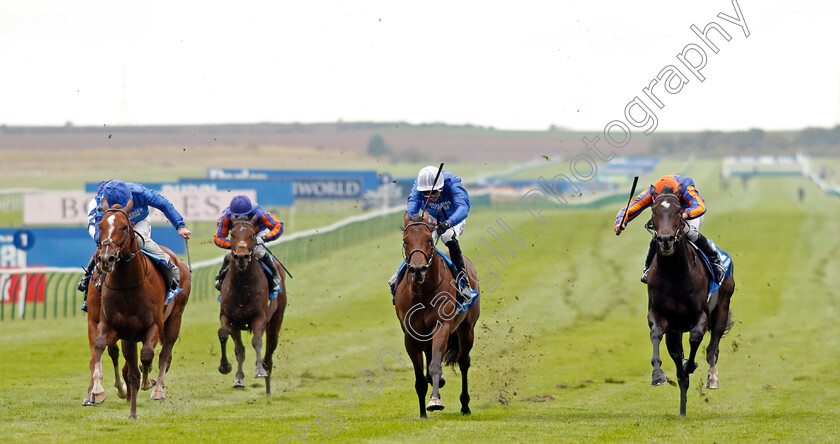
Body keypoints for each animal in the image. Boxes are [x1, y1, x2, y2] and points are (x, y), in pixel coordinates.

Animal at [83, 199, 191, 418]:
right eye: (101, 226)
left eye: (125, 226)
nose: (106, 259)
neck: (128, 284)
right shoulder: (107, 323)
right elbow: (101, 347)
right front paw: (98, 392)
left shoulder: (154, 325)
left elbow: (148, 355)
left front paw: (146, 382)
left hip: (175, 318)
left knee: (165, 353)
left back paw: (157, 389)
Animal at [218, 217, 288, 394]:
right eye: (232, 234)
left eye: (251, 234)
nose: (241, 256)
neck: (242, 286)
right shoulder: (229, 318)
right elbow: (233, 343)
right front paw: (230, 372)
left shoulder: (259, 317)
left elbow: (256, 342)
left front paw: (259, 371)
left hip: (276, 318)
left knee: (269, 350)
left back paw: (267, 382)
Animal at [394, 213, 480, 418]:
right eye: (405, 241)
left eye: (428, 240)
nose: (418, 270)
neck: (422, 292)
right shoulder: (411, 336)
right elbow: (420, 378)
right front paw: (422, 414)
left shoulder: (442, 326)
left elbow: (434, 366)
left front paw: (434, 401)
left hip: (466, 329)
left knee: (464, 362)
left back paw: (465, 405)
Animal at [644, 186, 736, 416]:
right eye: (654, 211)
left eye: (678, 211)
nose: (665, 240)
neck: (674, 274)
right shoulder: (660, 316)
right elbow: (656, 335)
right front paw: (657, 375)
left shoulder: (700, 315)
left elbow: (695, 338)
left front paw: (691, 364)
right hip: (675, 331)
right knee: (680, 370)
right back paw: (683, 409)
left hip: (722, 308)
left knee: (713, 348)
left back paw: (712, 379)